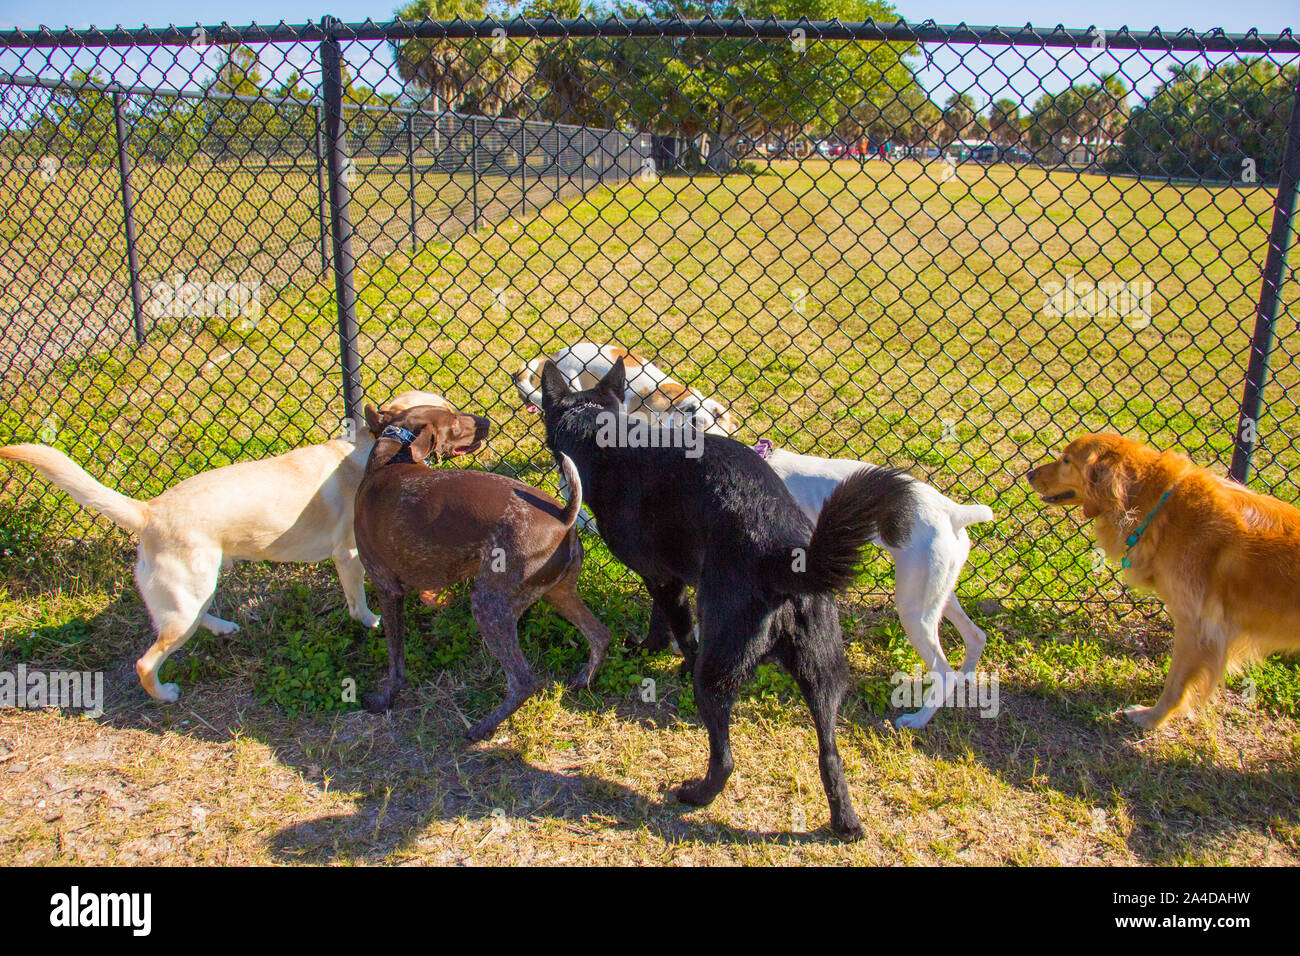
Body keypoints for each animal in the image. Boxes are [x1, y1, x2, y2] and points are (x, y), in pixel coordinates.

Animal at [0, 387, 478, 702]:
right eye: (454, 419)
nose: (484, 421)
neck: (377, 446)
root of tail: (148, 511)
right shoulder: (349, 557)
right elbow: (358, 601)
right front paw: (368, 620)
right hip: (185, 598)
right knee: (146, 661)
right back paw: (164, 693)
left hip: (197, 588)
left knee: (195, 619)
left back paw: (223, 628)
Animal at [538, 356, 915, 837]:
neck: (603, 435)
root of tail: (781, 555)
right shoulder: (667, 578)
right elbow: (660, 621)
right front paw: (649, 648)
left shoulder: (664, 580)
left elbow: (678, 632)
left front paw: (665, 656)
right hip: (823, 672)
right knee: (829, 754)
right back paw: (845, 824)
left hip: (717, 672)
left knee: (726, 758)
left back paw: (695, 795)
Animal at [759, 442, 987, 733]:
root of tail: (953, 512)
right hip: (938, 596)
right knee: (975, 636)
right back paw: (966, 679)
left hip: (913, 610)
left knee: (945, 674)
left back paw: (917, 720)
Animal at [1024, 437, 1300, 728]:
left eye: (1066, 461)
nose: (1029, 474)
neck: (1158, 503)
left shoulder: (1196, 627)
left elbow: (1175, 683)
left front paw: (1151, 718)